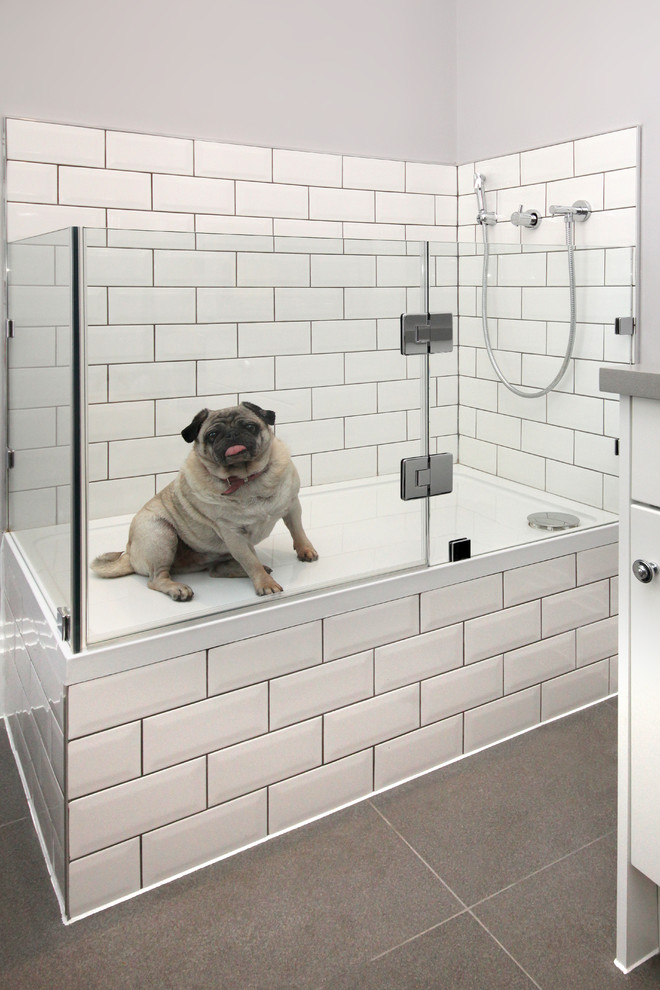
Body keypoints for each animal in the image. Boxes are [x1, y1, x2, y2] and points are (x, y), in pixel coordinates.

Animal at [91, 400, 318, 600]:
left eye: (250, 426)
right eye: (213, 434)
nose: (232, 434)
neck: (246, 479)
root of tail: (130, 555)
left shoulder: (292, 505)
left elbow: (298, 531)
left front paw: (306, 550)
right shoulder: (233, 534)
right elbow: (250, 561)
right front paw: (265, 584)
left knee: (215, 570)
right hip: (160, 535)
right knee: (156, 578)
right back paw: (178, 589)